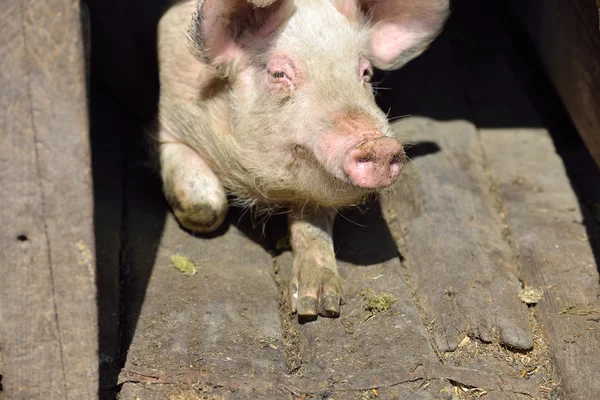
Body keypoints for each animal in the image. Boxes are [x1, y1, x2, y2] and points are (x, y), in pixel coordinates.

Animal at [157, 0, 448, 318]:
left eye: (366, 72)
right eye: (278, 74)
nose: (381, 145)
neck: (266, 188)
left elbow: (313, 226)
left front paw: (317, 307)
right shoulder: (170, 127)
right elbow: (206, 206)